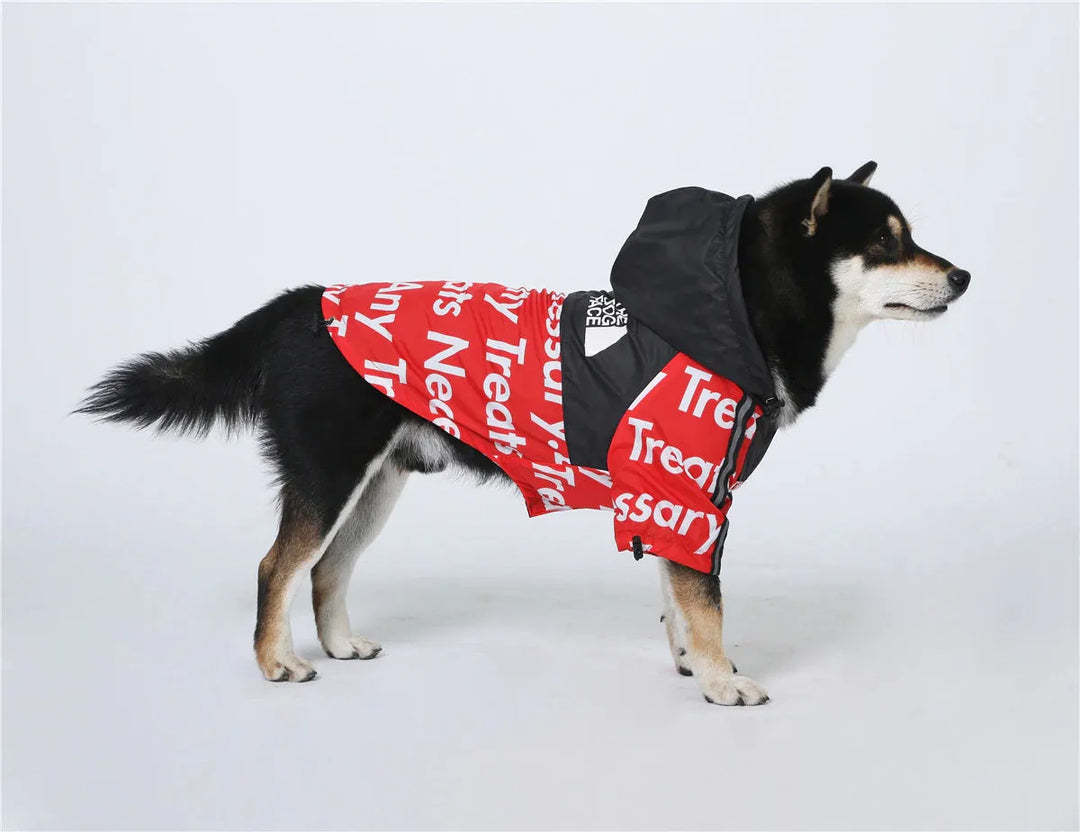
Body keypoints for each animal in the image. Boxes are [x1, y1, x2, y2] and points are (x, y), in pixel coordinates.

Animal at [78, 164, 972, 708]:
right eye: (886, 244)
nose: (962, 275)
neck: (734, 315)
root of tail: (302, 302)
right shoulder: (686, 491)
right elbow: (706, 601)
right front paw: (724, 682)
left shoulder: (674, 500)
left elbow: (678, 599)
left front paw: (689, 661)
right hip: (328, 477)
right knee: (277, 567)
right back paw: (276, 662)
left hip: (375, 487)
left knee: (327, 569)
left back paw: (338, 646)